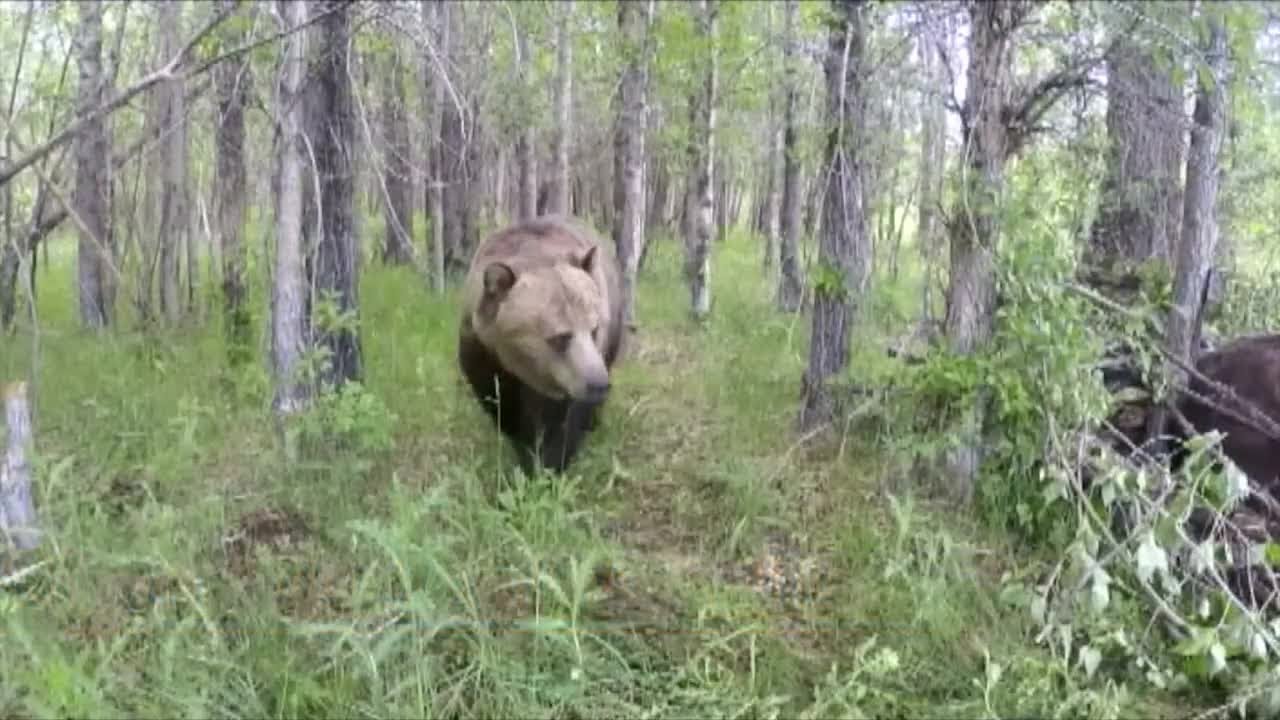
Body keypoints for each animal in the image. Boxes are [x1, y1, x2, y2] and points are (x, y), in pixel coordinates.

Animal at [456, 215, 624, 474]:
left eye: (595, 329)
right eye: (560, 336)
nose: (598, 384)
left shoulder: (566, 379)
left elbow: (563, 422)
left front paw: (549, 465)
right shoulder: (483, 353)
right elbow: (501, 406)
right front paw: (525, 454)